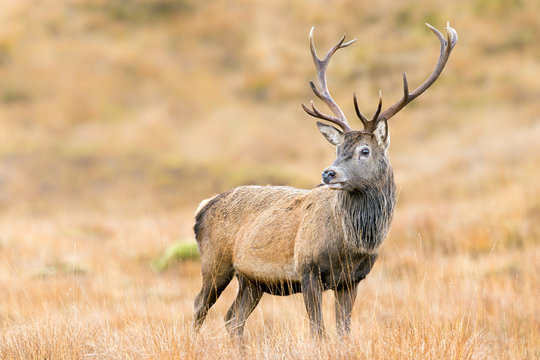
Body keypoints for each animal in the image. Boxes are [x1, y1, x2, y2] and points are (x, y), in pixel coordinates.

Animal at [192, 21, 458, 338]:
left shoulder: (352, 280)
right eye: (337, 149)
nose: (328, 172)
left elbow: (343, 331)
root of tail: (202, 207)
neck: (351, 246)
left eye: (364, 150)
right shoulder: (308, 269)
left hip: (252, 279)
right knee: (200, 306)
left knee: (234, 317)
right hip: (215, 262)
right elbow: (317, 331)